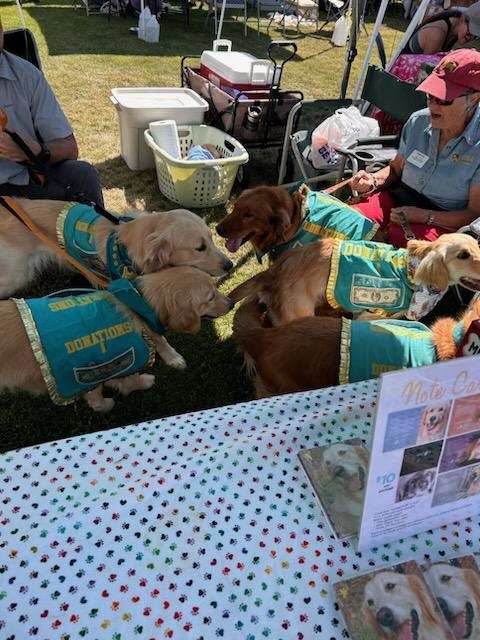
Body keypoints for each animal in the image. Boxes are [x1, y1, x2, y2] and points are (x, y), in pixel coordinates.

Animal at [0, 267, 232, 411]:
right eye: (210, 297)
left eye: (215, 286)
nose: (231, 302)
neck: (138, 302)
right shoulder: (102, 368)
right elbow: (113, 389)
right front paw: (135, 387)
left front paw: (172, 357)